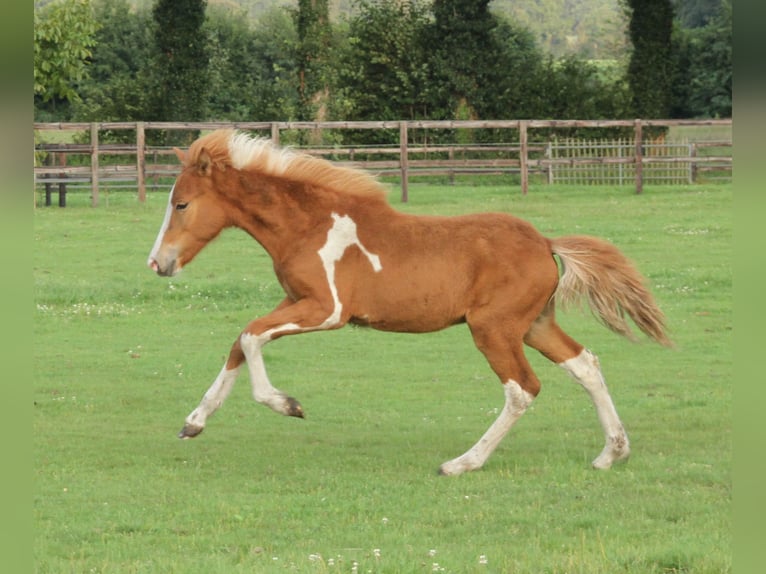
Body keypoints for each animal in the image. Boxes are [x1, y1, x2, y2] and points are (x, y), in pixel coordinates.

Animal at [146, 130, 672, 476]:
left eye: (182, 204)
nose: (158, 263)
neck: (310, 224)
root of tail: (545, 242)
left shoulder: (327, 311)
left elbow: (251, 336)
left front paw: (287, 404)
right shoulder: (294, 300)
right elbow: (239, 341)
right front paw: (194, 423)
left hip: (494, 328)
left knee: (522, 389)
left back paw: (462, 463)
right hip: (534, 324)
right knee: (585, 365)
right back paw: (611, 453)